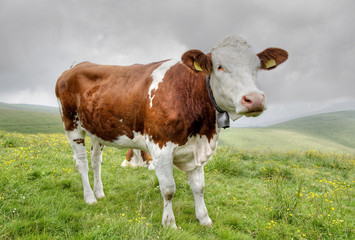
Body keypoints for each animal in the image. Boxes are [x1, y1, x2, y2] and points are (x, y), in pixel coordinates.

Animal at [56, 33, 290, 227]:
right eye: (220, 66)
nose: (255, 99)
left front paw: (204, 219)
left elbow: (199, 186)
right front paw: (169, 223)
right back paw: (89, 198)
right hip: (72, 125)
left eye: (256, 67)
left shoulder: (197, 147)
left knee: (96, 162)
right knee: (82, 163)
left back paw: (100, 193)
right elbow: (168, 189)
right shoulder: (160, 146)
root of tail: (74, 66)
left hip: (97, 129)